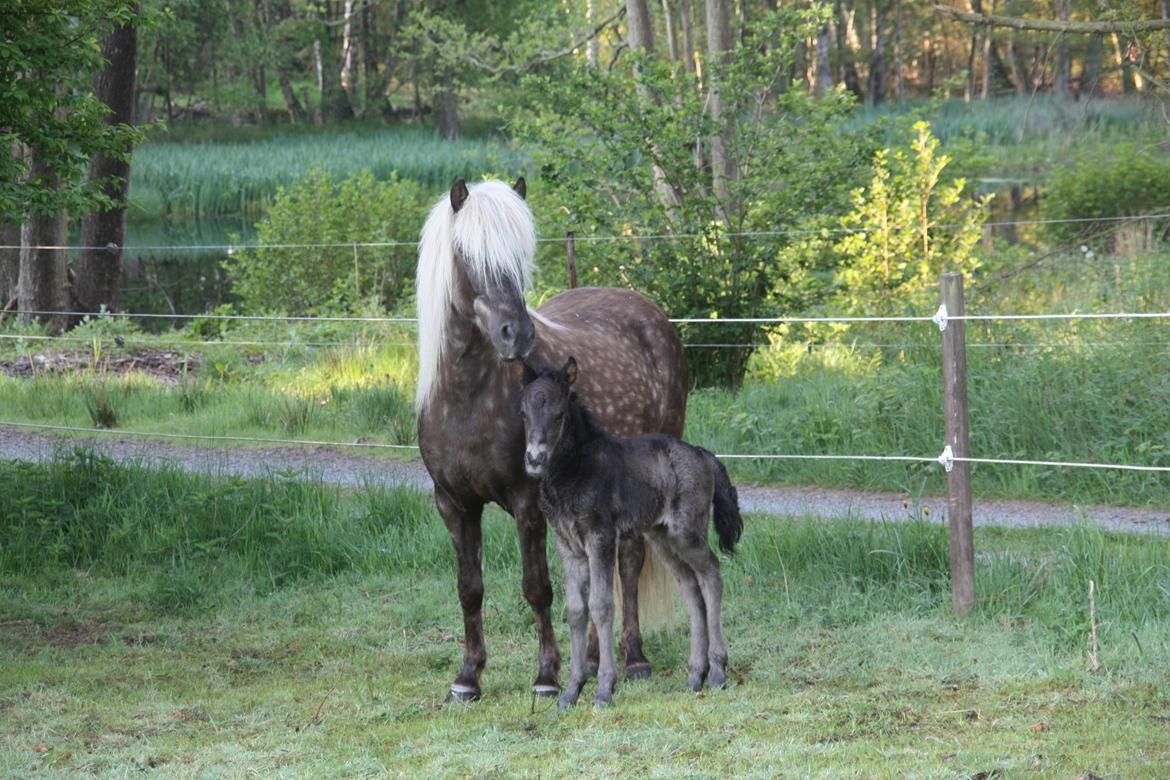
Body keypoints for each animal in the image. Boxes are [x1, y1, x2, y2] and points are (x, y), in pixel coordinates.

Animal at [414, 176, 687, 701]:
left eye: (519, 257)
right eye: (468, 256)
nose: (516, 335)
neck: (468, 398)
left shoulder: (527, 502)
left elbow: (537, 586)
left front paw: (546, 676)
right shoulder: (453, 504)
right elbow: (469, 588)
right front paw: (468, 677)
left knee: (630, 561)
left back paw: (634, 658)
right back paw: (599, 657)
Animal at [521, 357, 739, 711]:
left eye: (559, 414)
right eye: (523, 413)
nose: (535, 459)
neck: (572, 472)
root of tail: (702, 453)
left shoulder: (600, 537)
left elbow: (601, 606)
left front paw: (604, 688)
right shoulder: (567, 545)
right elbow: (576, 611)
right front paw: (571, 690)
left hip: (687, 533)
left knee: (711, 575)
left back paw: (718, 671)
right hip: (662, 539)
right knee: (691, 589)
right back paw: (696, 675)